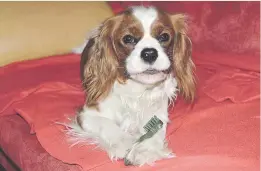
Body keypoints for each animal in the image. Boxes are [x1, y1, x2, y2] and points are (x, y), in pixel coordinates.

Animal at [69, 6, 195, 166]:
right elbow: (107, 124)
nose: (149, 53)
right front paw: (126, 143)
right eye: (128, 38)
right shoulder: (87, 114)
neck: (136, 89)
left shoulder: (158, 115)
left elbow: (154, 133)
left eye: (164, 37)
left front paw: (144, 150)